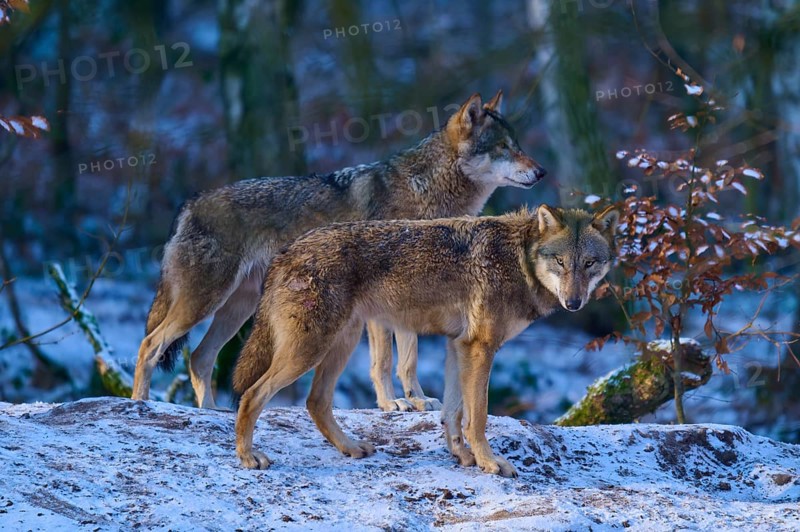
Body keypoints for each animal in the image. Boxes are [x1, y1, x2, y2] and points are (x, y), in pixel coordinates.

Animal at [131, 91, 547, 410]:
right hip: (205, 302)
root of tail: (189, 202)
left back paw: (210, 412)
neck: (426, 192)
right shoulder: (383, 307)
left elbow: (409, 360)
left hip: (238, 307)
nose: (541, 171)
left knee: (200, 358)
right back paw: (140, 403)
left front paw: (418, 400)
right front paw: (391, 404)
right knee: (151, 344)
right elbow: (384, 362)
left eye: (520, 147)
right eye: (504, 149)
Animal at [232, 204, 619, 477]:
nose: (574, 302)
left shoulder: (457, 346)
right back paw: (248, 457)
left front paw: (462, 456)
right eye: (560, 262)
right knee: (252, 395)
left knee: (316, 402)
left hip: (341, 343)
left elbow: (453, 413)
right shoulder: (480, 348)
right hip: (311, 349)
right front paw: (490, 463)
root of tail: (285, 252)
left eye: (589, 263)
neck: (519, 259)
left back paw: (351, 447)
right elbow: (477, 416)